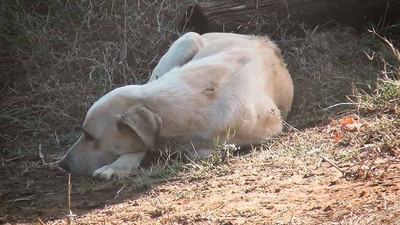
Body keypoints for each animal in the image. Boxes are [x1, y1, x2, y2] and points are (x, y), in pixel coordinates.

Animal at [57, 31, 294, 179]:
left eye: (89, 136)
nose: (62, 164)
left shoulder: (272, 127)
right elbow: (143, 144)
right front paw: (119, 166)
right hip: (186, 41)